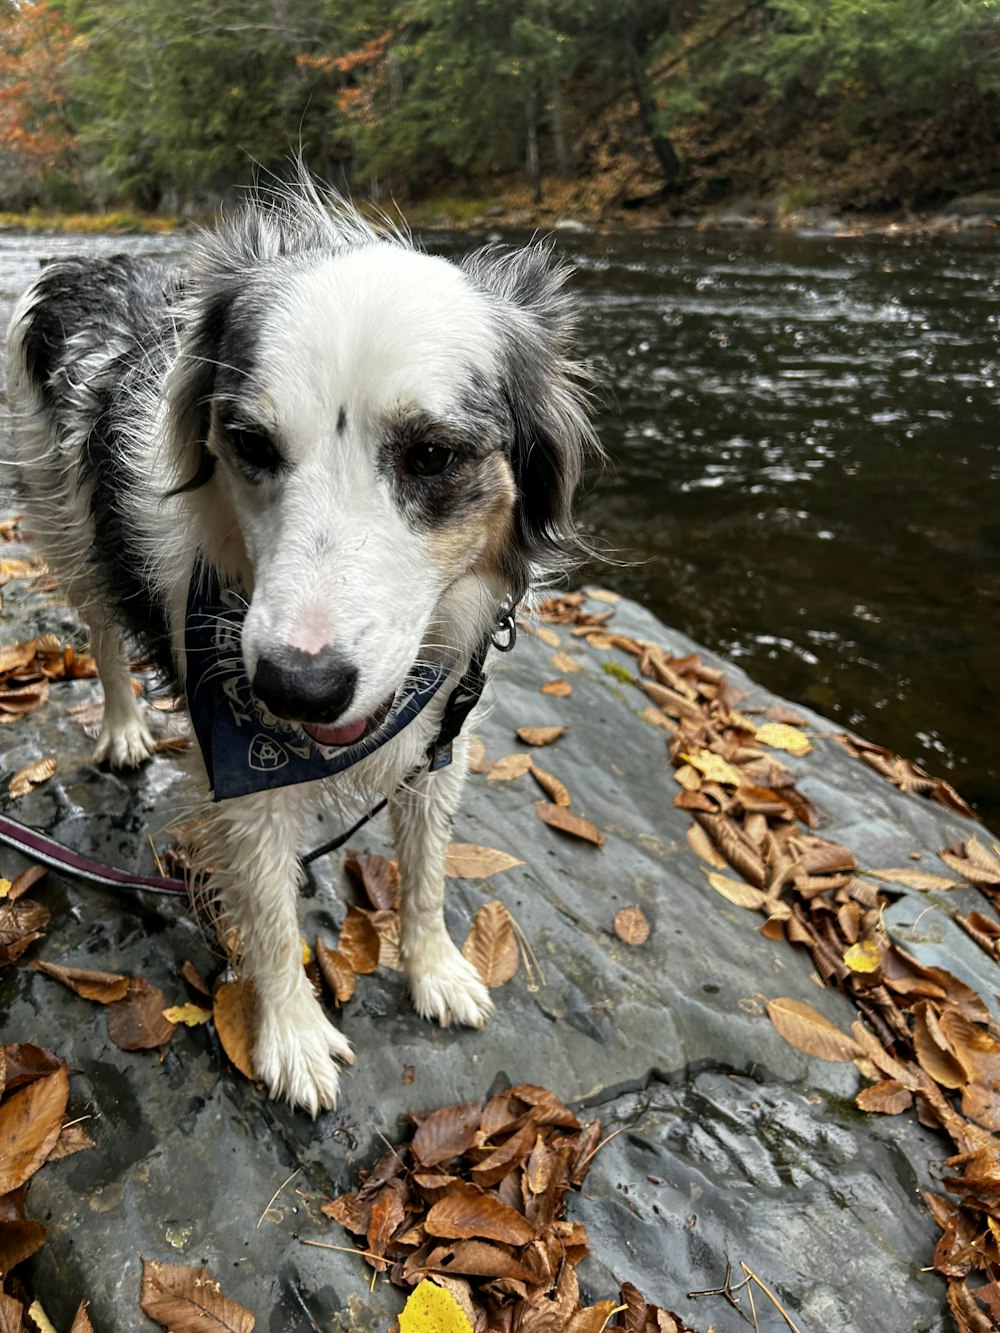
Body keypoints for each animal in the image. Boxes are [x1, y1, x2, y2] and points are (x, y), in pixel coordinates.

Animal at [3, 177, 600, 1114]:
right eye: (250, 444)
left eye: (433, 455)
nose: (295, 687)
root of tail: (81, 261)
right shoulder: (244, 765)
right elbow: (271, 911)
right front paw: (290, 1033)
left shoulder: (444, 727)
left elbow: (427, 867)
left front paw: (434, 967)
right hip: (70, 522)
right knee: (100, 626)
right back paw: (125, 726)